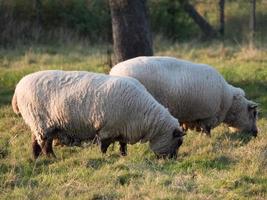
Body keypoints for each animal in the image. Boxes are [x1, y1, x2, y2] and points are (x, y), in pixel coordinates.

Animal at [11, 70, 185, 159]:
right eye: (178, 142)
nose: (172, 160)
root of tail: (18, 87)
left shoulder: (122, 128)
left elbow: (122, 144)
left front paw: (123, 156)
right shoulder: (106, 129)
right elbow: (104, 146)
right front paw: (104, 157)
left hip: (38, 123)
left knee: (35, 141)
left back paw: (36, 158)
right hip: (42, 122)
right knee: (45, 144)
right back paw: (51, 158)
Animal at [110, 56, 260, 138]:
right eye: (253, 113)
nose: (256, 133)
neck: (229, 103)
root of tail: (113, 72)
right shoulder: (208, 116)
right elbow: (207, 130)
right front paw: (207, 139)